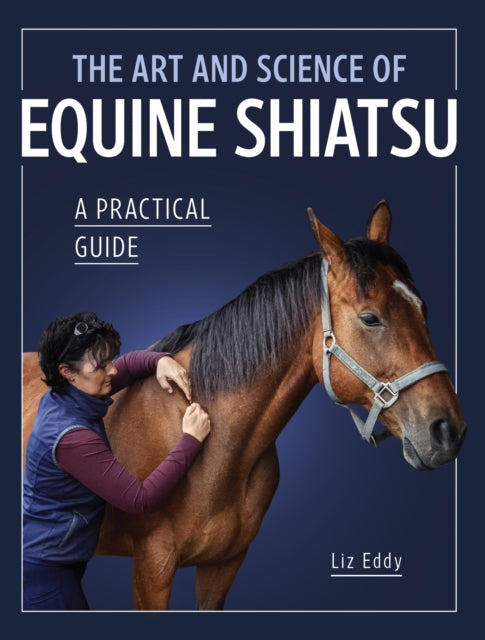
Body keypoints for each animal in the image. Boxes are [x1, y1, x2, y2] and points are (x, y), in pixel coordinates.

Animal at [22, 200, 467, 610]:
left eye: (423, 308)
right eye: (370, 318)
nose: (448, 430)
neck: (218, 444)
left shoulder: (223, 567)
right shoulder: (152, 568)